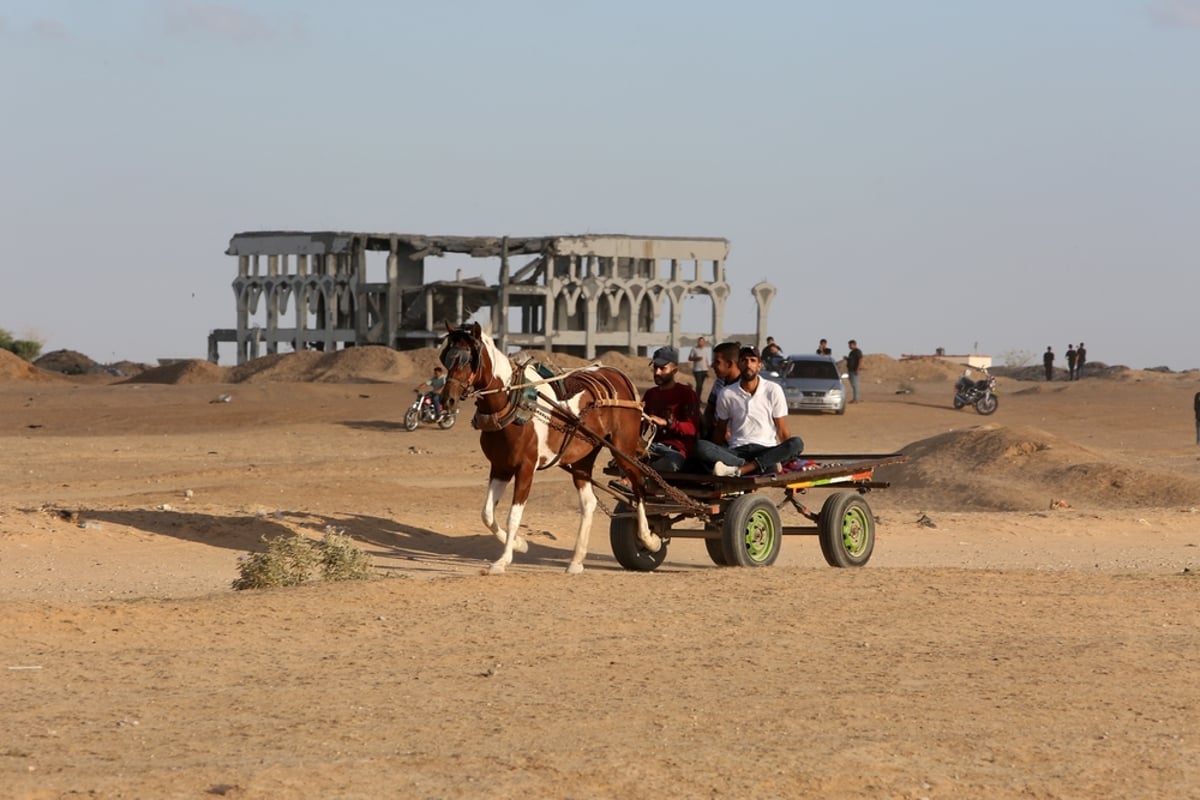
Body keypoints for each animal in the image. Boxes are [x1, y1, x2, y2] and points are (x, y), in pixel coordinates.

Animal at [441, 321, 667, 573]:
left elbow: (513, 516)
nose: (447, 400)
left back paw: (648, 538)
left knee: (639, 488)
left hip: (623, 450)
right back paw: (576, 561)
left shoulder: (525, 468)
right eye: (446, 358)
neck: (514, 402)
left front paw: (503, 560)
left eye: (468, 359)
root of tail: (619, 376)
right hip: (583, 457)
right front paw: (520, 544)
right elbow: (487, 515)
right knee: (589, 503)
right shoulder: (500, 467)